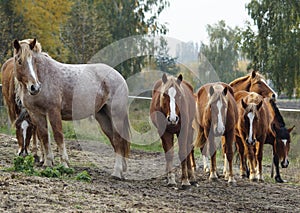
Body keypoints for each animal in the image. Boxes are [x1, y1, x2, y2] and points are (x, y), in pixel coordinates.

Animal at [12, 38, 130, 180]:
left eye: (34, 61)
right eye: (19, 61)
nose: (35, 87)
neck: (44, 75)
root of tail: (118, 76)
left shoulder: (53, 111)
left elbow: (58, 136)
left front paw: (64, 165)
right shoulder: (36, 114)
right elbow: (44, 137)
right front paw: (47, 163)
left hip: (116, 116)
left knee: (118, 140)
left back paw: (117, 173)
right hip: (103, 118)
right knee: (114, 140)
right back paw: (122, 171)